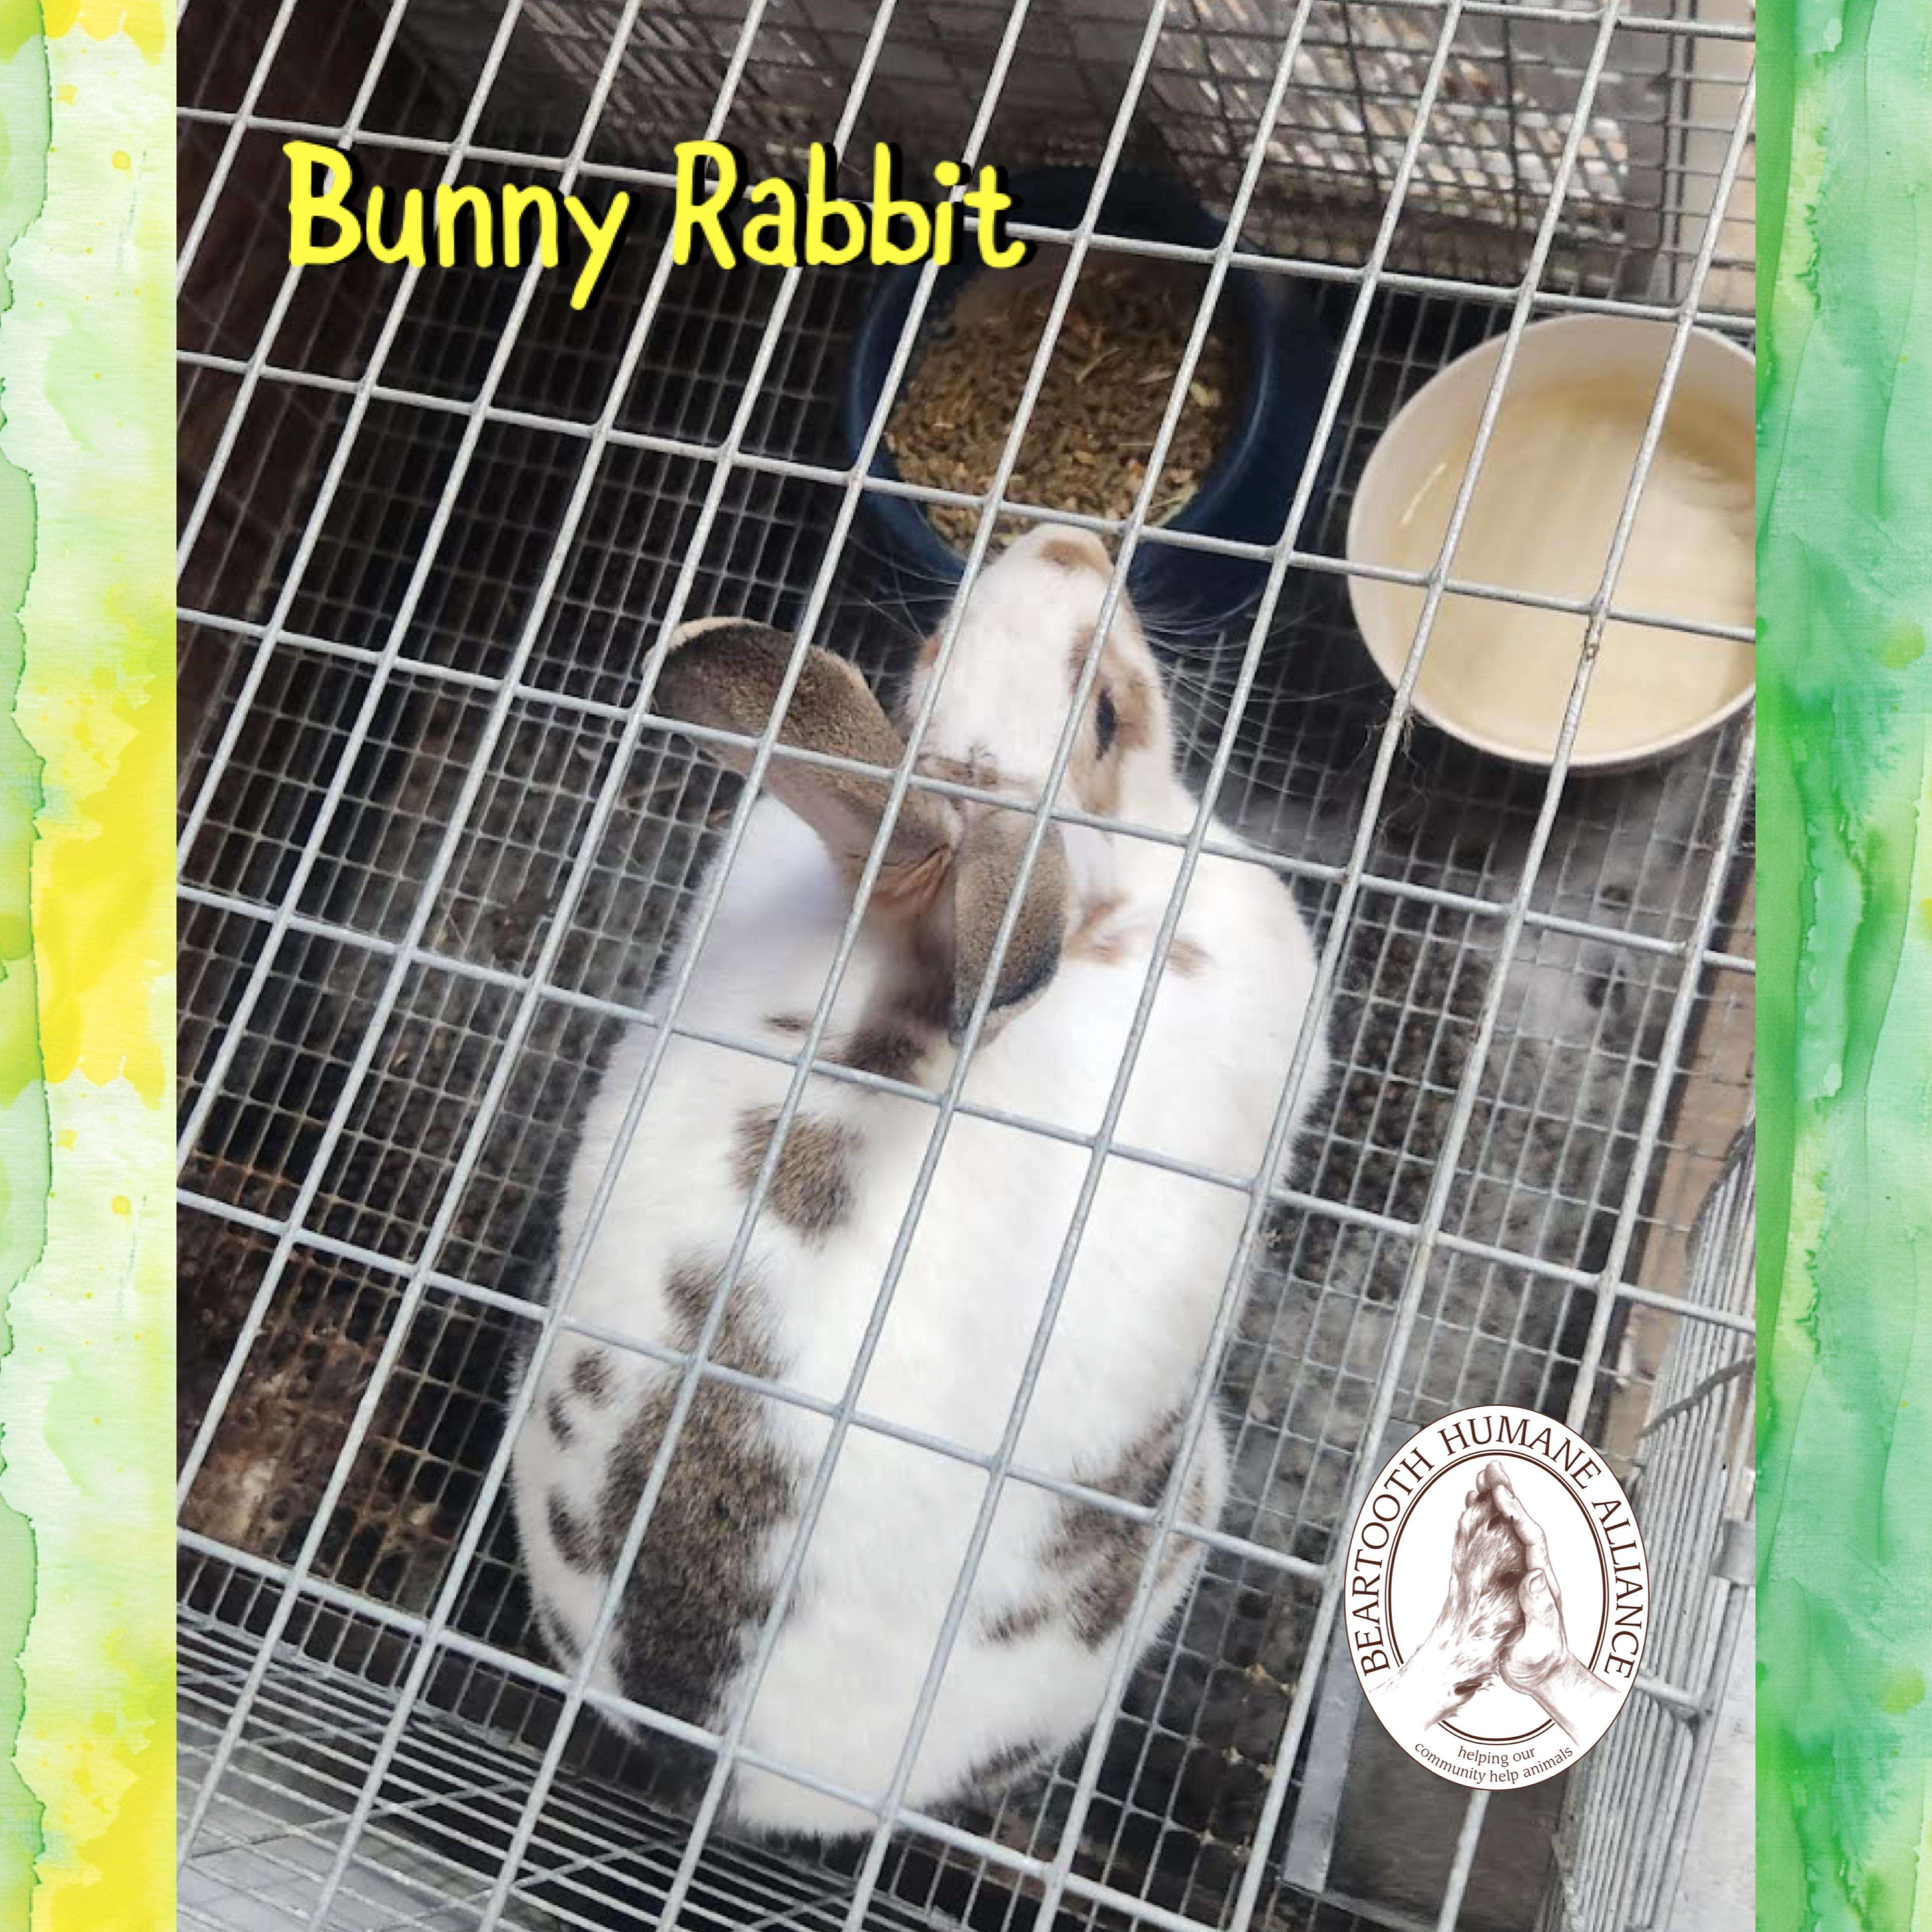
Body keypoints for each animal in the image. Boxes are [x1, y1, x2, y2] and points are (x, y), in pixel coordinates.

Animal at [508, 523, 1331, 1839]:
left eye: (920, 661)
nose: (1069, 542)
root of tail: (718, 1757)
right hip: (1185, 1505)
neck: (927, 988)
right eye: (1106, 721)